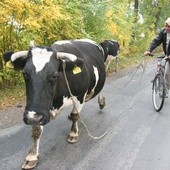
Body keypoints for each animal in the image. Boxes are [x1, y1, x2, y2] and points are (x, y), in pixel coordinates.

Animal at [2, 38, 119, 169]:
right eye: (25, 74)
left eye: (54, 75)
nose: (32, 118)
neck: (55, 101)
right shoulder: (38, 110)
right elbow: (37, 131)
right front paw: (32, 156)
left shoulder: (79, 96)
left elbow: (74, 115)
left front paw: (73, 134)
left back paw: (101, 102)